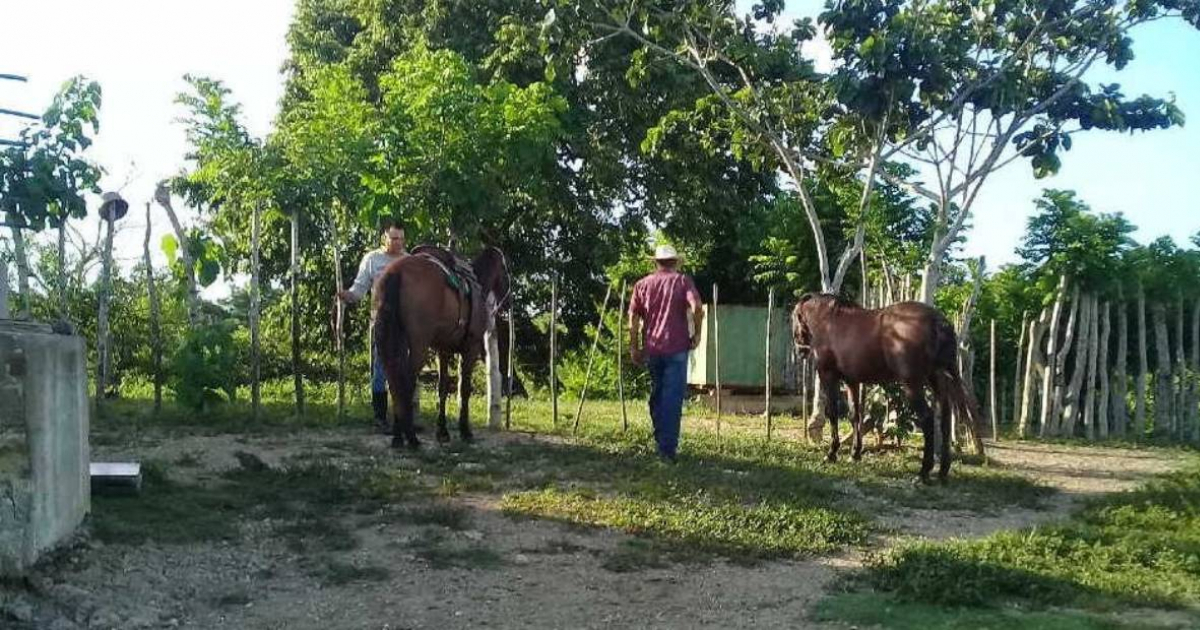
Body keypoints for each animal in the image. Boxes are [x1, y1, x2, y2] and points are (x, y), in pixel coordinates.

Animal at [372, 242, 508, 446]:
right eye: (505, 271)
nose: (508, 300)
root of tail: (396, 271)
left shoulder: (442, 351)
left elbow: (442, 388)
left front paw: (442, 431)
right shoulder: (471, 348)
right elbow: (464, 389)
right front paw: (465, 430)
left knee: (395, 383)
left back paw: (398, 436)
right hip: (419, 347)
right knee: (406, 383)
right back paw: (411, 438)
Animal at [792, 292, 979, 480]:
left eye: (794, 318)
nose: (800, 351)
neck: (829, 321)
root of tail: (938, 321)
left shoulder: (828, 376)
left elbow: (832, 413)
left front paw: (831, 453)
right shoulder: (852, 381)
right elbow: (855, 415)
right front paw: (855, 453)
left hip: (912, 384)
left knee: (927, 418)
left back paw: (923, 472)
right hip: (937, 379)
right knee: (946, 418)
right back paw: (943, 471)